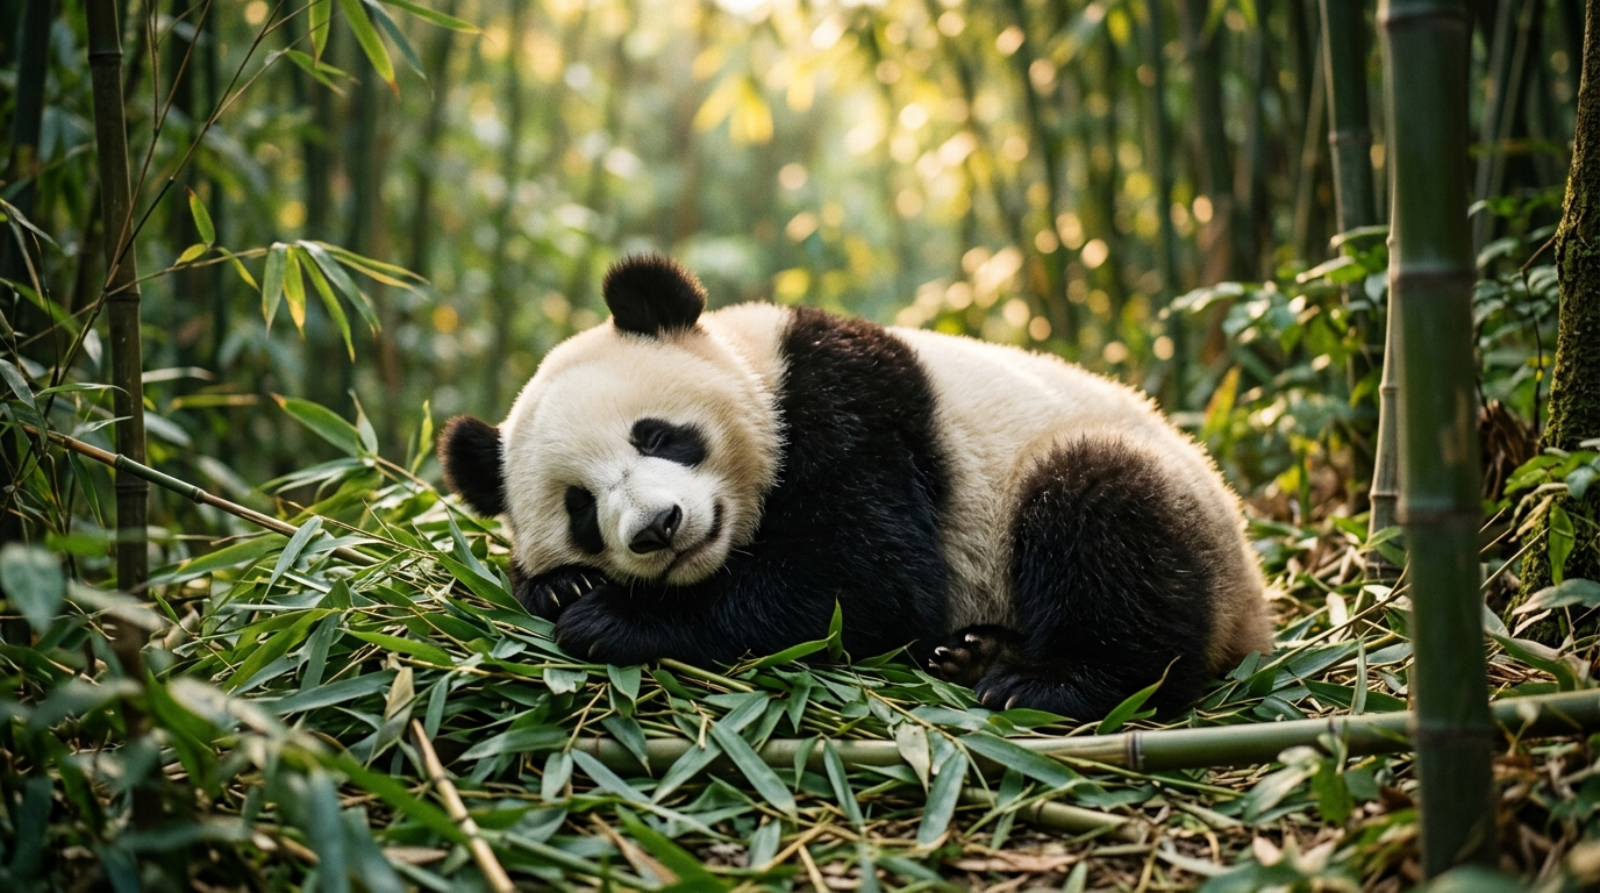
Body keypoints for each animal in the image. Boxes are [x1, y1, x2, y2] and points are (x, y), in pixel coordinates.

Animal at [440, 255, 1274, 720]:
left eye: (657, 434)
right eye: (580, 507)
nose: (657, 527)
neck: (759, 366)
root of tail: (1257, 602)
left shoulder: (847, 405)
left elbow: (865, 580)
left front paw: (611, 618)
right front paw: (561, 586)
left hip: (1145, 496)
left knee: (1105, 523)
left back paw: (1045, 683)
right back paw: (975, 654)